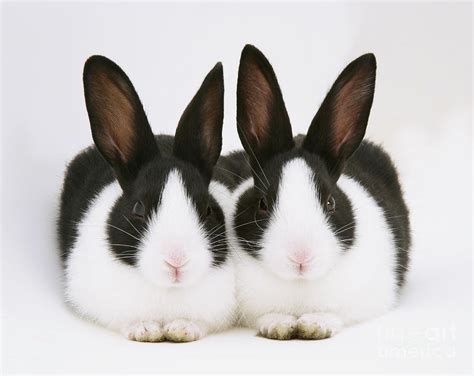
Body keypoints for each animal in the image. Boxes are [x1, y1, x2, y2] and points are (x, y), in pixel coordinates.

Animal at [227, 44, 412, 340]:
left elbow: (337, 314)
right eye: (263, 204)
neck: (300, 286)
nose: (300, 258)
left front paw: (316, 325)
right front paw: (278, 325)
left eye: (330, 202)